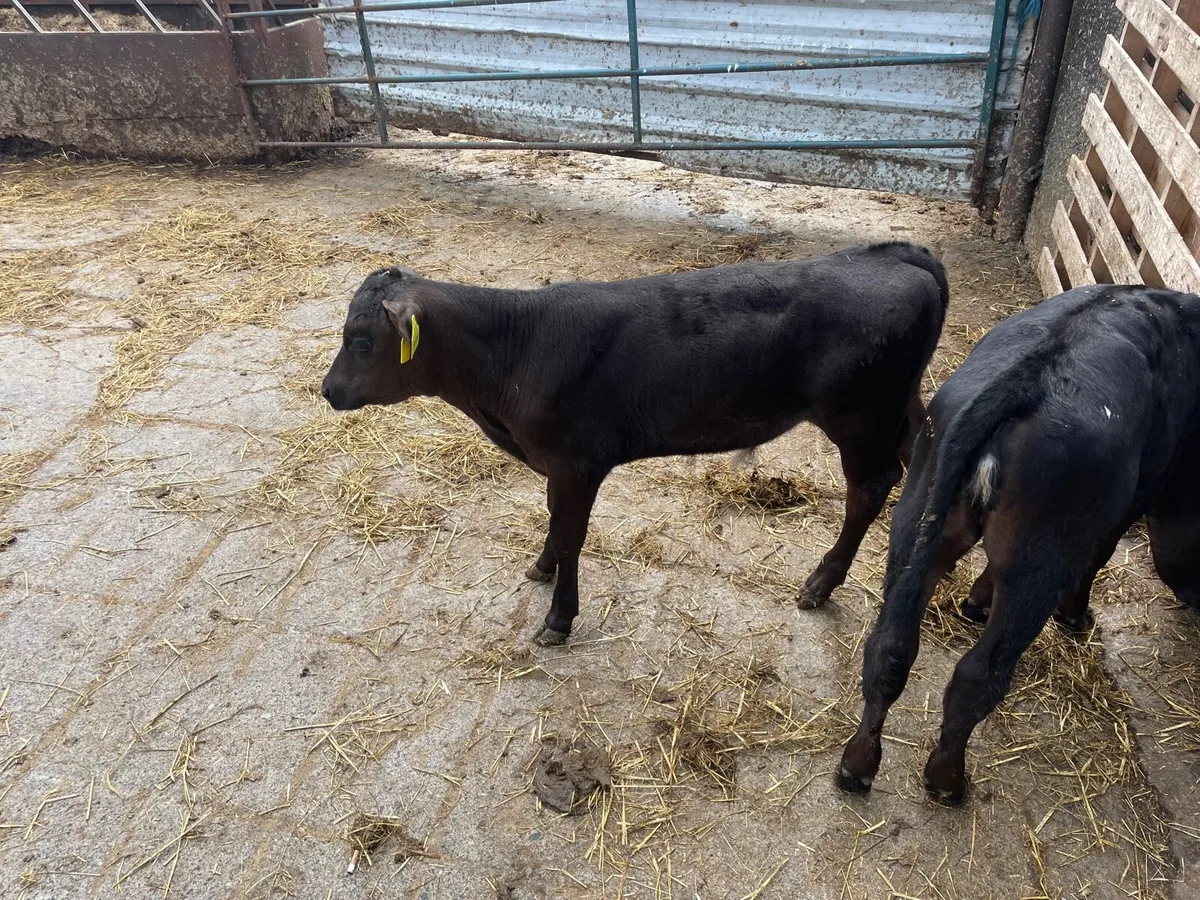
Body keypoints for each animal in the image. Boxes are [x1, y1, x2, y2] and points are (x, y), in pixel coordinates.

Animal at [321, 241, 949, 645]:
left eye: (361, 340)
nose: (328, 391)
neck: (518, 348)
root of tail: (891, 253)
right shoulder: (559, 466)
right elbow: (555, 524)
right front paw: (542, 568)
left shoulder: (578, 461)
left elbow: (571, 534)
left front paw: (558, 619)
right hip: (900, 409)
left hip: (859, 417)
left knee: (869, 488)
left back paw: (820, 584)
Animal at [836, 284, 1200, 806]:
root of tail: (1026, 379)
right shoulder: (1133, 499)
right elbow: (1100, 553)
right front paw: (1074, 617)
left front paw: (976, 601)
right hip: (1041, 561)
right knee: (977, 674)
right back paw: (947, 780)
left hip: (919, 518)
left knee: (889, 647)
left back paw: (858, 764)